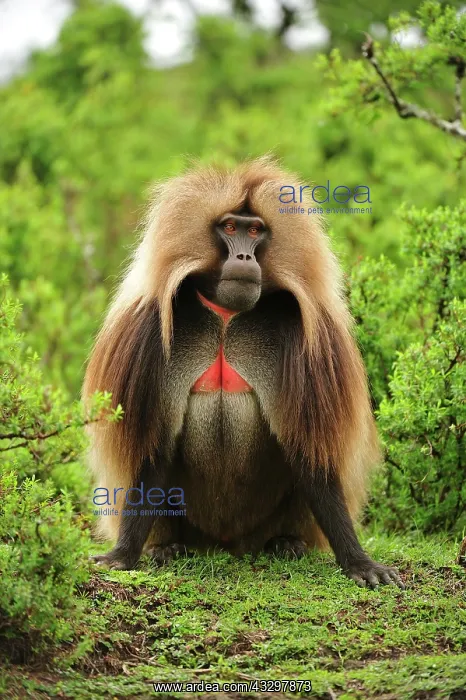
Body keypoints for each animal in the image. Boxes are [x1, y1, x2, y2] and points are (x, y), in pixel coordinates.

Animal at [83, 157, 404, 589]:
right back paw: (166, 547)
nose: (245, 259)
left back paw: (286, 543)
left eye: (255, 231)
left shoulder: (307, 337)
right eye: (230, 228)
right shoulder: (146, 331)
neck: (226, 317)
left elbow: (311, 456)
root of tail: (228, 545)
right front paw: (122, 555)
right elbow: (156, 450)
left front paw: (358, 560)